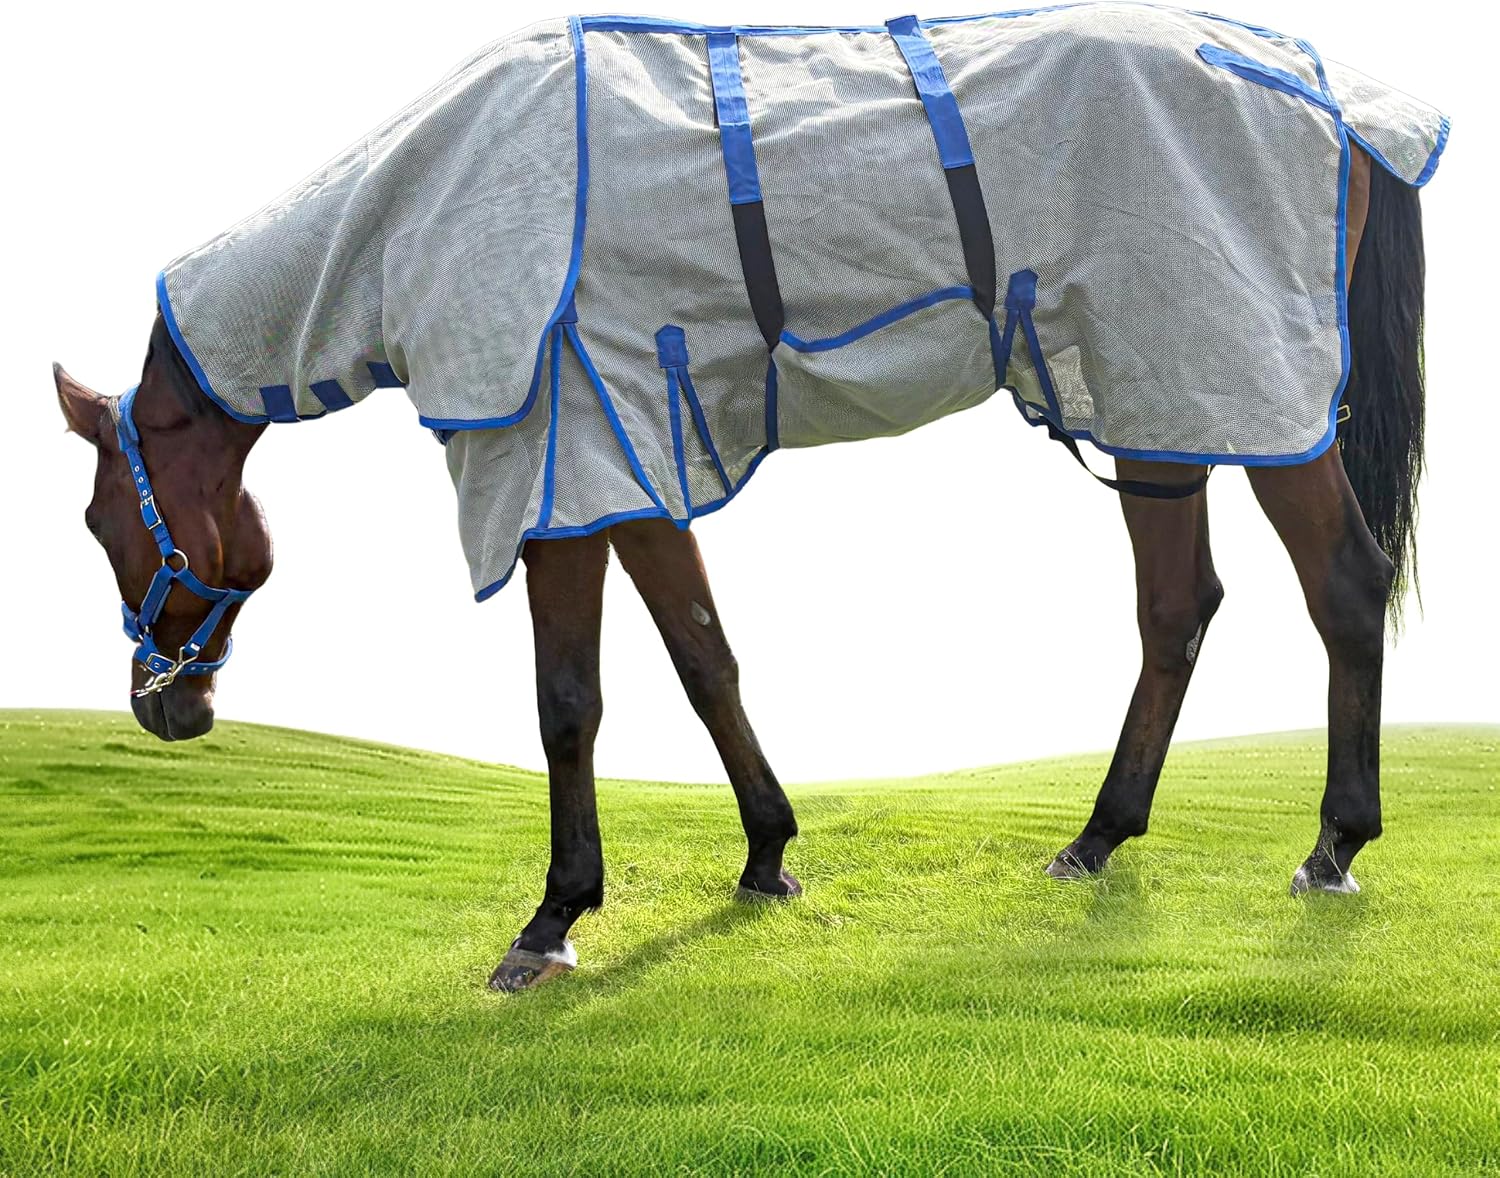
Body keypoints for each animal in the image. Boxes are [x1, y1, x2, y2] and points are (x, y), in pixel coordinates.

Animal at [55, 10, 1432, 991]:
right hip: (1158, 396)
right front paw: (767, 854)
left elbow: (568, 702)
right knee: (1177, 606)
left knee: (1341, 586)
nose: (163, 708)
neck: (421, 203)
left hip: (1245, 384)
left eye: (101, 522)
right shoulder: (630, 462)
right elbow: (704, 658)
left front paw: (552, 919)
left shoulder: (557, 459)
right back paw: (1098, 836)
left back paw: (1334, 845)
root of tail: (1331, 93)